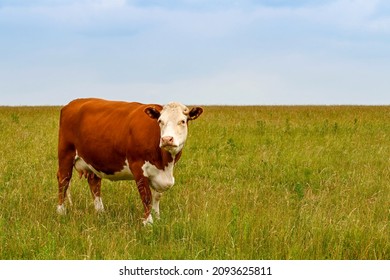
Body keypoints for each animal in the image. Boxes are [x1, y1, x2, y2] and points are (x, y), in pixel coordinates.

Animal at [56, 98, 203, 225]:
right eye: (160, 121)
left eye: (182, 121)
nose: (167, 139)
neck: (165, 164)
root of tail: (73, 103)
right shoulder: (138, 167)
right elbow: (146, 197)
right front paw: (148, 223)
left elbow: (157, 196)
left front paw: (157, 218)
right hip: (66, 153)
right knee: (63, 180)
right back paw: (61, 211)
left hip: (93, 159)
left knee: (94, 182)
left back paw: (101, 212)